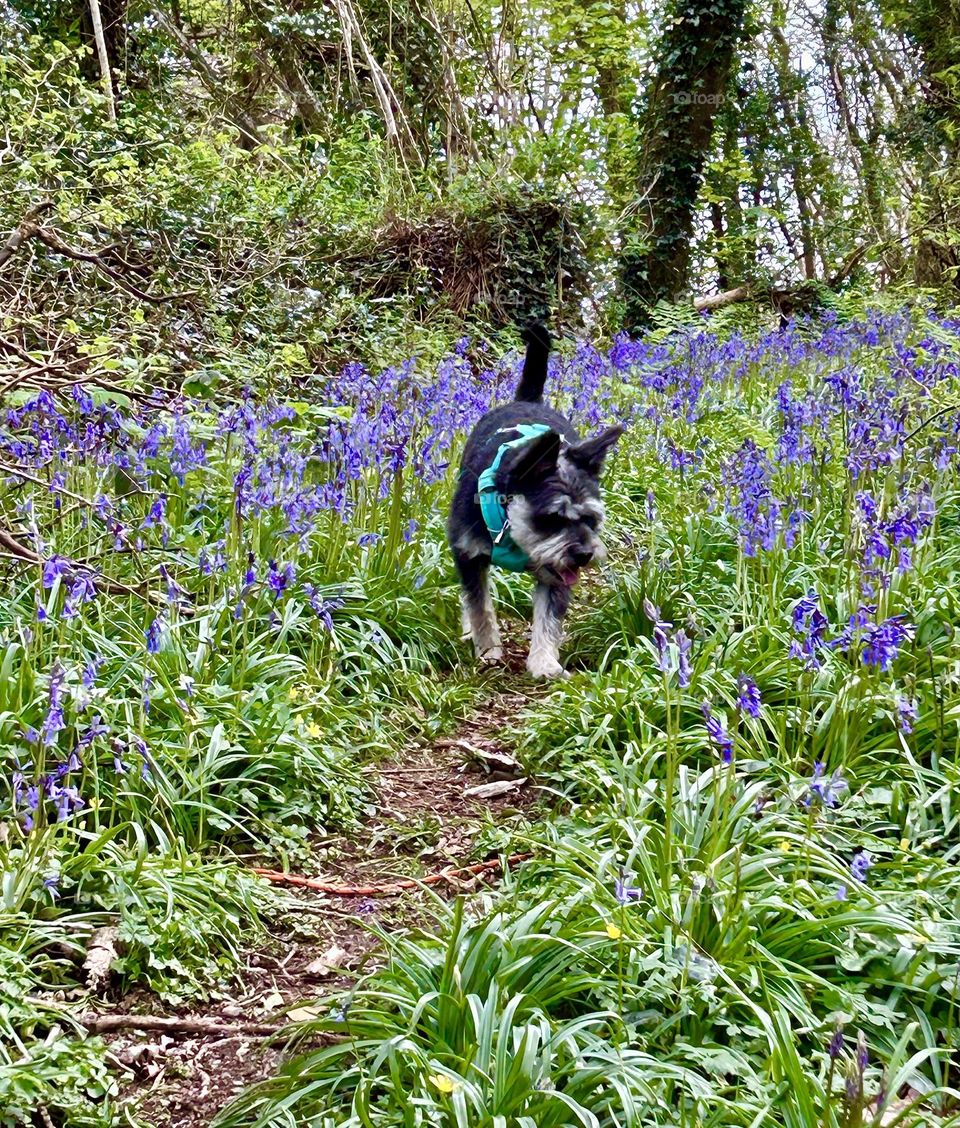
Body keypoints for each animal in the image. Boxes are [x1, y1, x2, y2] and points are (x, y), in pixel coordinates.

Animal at [448, 324, 622, 676]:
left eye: (591, 519)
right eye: (552, 518)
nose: (584, 554)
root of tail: (527, 400)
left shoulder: (557, 570)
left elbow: (549, 615)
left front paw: (544, 661)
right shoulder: (468, 553)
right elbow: (479, 605)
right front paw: (488, 650)